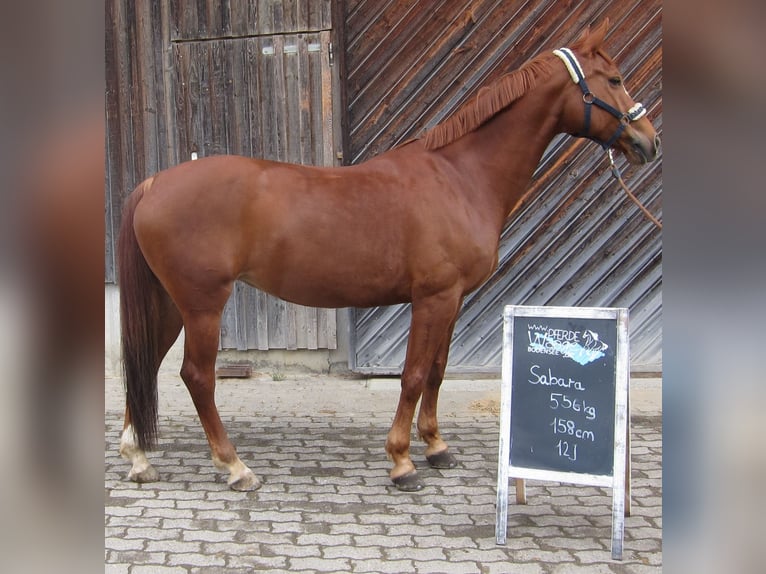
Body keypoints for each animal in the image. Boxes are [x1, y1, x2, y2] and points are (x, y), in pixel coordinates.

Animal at [118, 20, 660, 492]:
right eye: (614, 79)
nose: (648, 142)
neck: (459, 175)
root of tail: (153, 184)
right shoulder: (434, 297)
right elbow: (414, 375)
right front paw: (402, 462)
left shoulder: (453, 299)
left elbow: (437, 372)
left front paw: (437, 448)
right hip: (203, 305)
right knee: (196, 377)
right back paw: (234, 466)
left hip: (169, 305)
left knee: (144, 363)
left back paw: (138, 458)